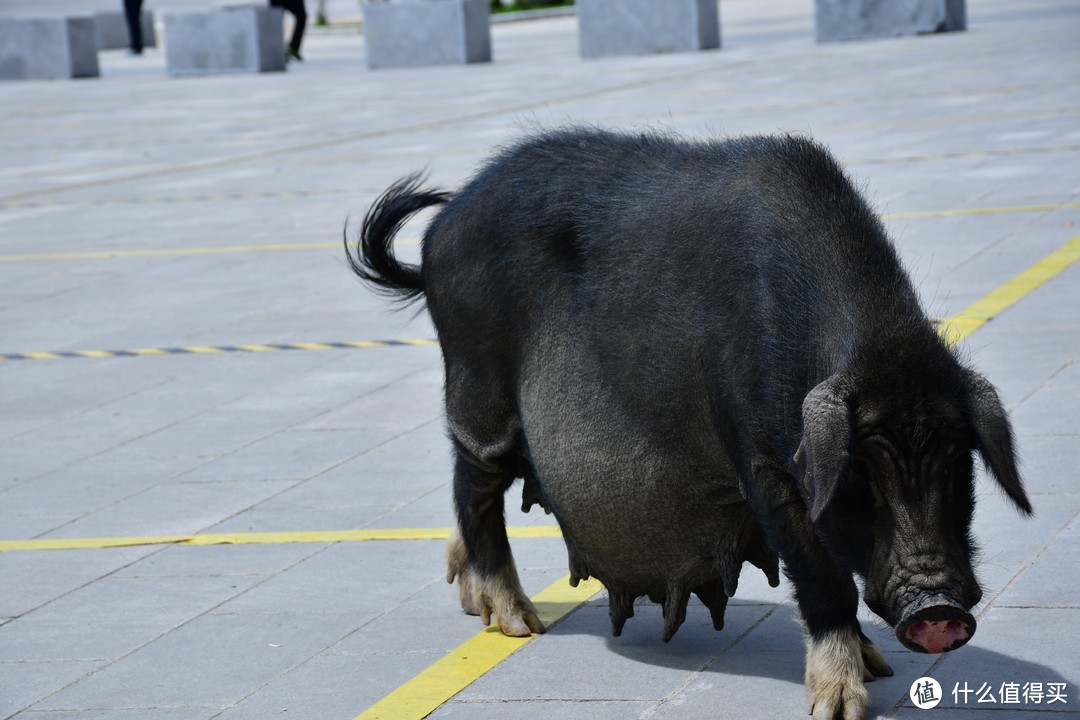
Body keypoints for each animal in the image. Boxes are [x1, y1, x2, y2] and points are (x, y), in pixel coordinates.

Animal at [349, 129, 1032, 720]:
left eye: (957, 462)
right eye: (860, 471)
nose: (938, 606)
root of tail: (442, 229)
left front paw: (878, 668)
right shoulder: (760, 458)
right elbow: (821, 575)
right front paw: (840, 705)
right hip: (478, 387)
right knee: (475, 483)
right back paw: (518, 623)